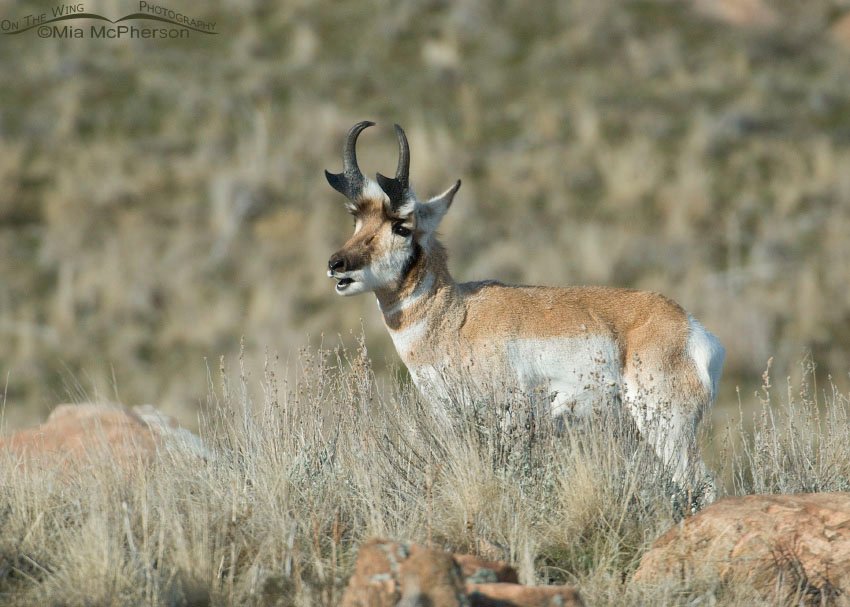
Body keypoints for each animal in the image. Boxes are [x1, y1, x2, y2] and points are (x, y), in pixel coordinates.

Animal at [325, 121, 725, 505]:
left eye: (401, 226)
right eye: (356, 220)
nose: (336, 264)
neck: (456, 315)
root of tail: (692, 329)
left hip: (665, 427)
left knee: (701, 485)